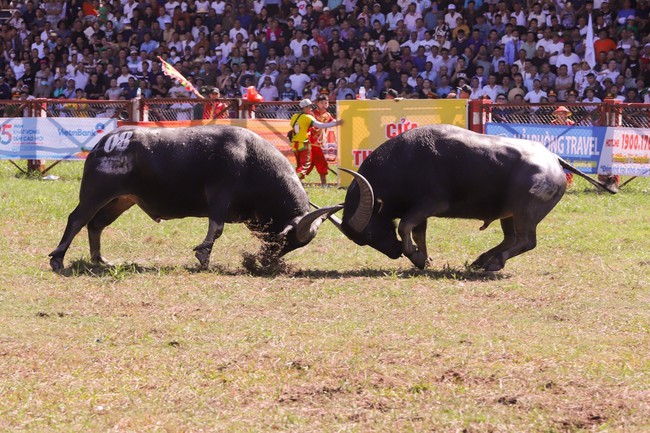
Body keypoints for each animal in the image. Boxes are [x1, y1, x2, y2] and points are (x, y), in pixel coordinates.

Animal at [48, 124, 336, 270]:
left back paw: (100, 259)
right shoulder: (219, 194)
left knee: (95, 225)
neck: (251, 159)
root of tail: (105, 143)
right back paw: (58, 258)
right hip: (96, 193)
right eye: (287, 238)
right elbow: (216, 228)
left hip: (121, 201)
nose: (268, 262)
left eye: (294, 245)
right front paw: (203, 256)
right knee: (77, 219)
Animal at [332, 123, 612, 270]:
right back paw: (481, 259)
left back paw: (493, 262)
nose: (393, 252)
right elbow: (418, 232)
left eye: (370, 234)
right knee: (511, 238)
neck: (403, 162)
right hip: (509, 214)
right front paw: (424, 258)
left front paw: (415, 256)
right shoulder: (421, 212)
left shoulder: (430, 204)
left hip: (525, 212)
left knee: (526, 241)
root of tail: (553, 159)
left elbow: (404, 226)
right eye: (362, 241)